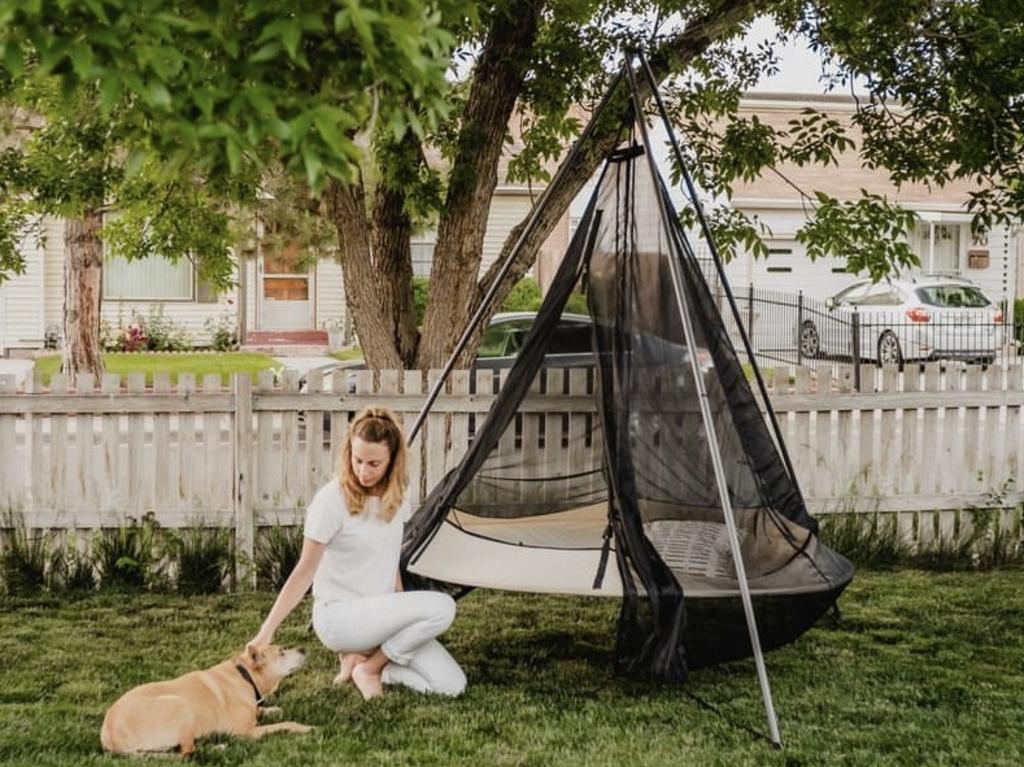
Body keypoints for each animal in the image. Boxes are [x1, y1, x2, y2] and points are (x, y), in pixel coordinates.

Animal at [103, 638, 313, 753]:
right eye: (281, 652)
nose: (303, 649)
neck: (245, 675)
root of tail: (109, 736)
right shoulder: (247, 732)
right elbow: (286, 724)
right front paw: (305, 728)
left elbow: (264, 710)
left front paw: (272, 709)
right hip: (180, 705)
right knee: (187, 753)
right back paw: (217, 747)